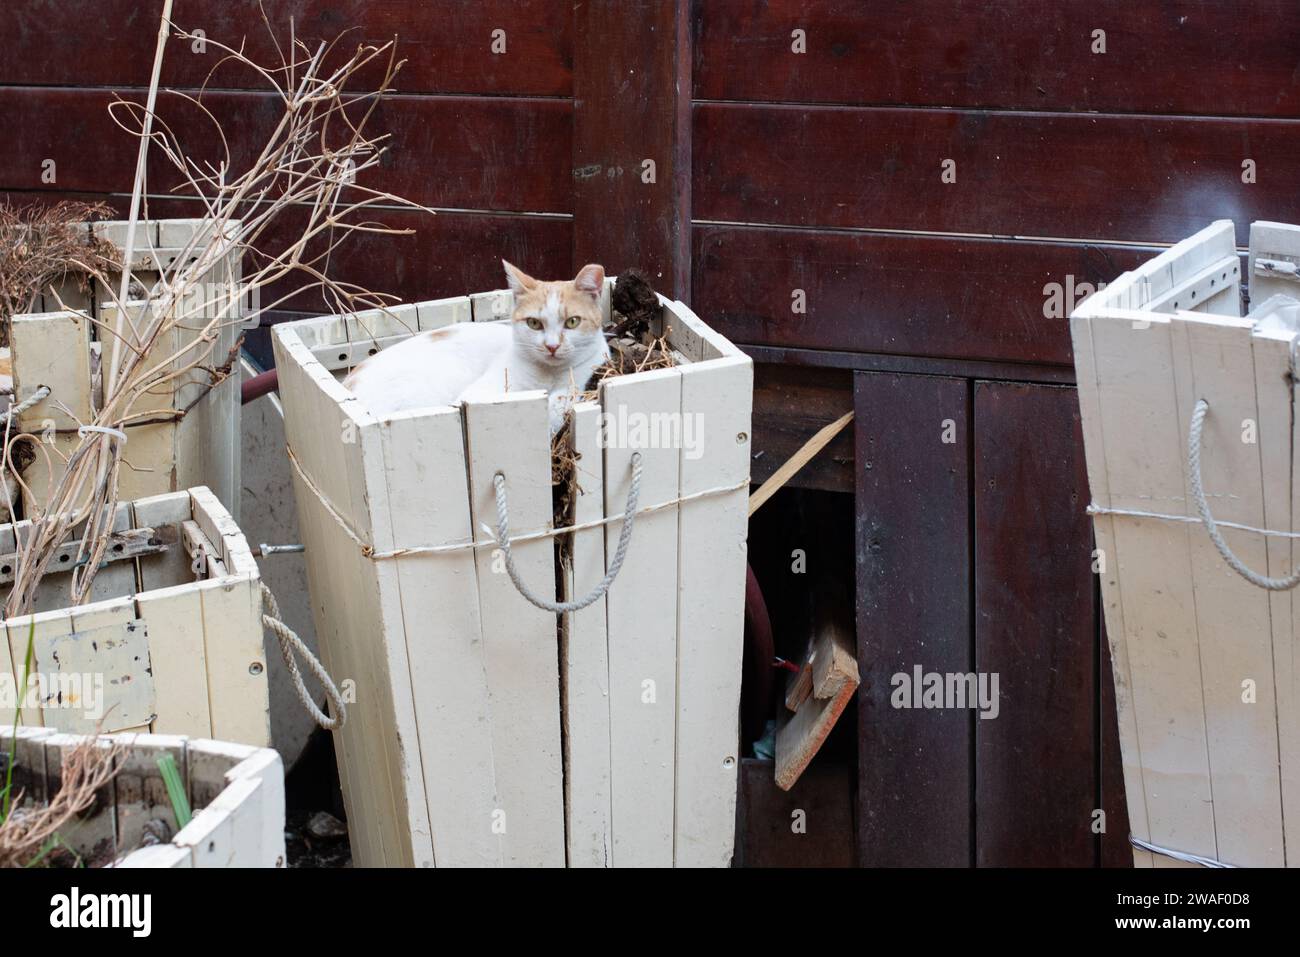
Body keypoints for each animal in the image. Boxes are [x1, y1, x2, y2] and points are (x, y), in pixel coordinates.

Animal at [343, 257, 611, 429]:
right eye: (534, 323)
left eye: (573, 322)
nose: (552, 346)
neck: (549, 375)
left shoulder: (586, 372)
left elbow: (563, 397)